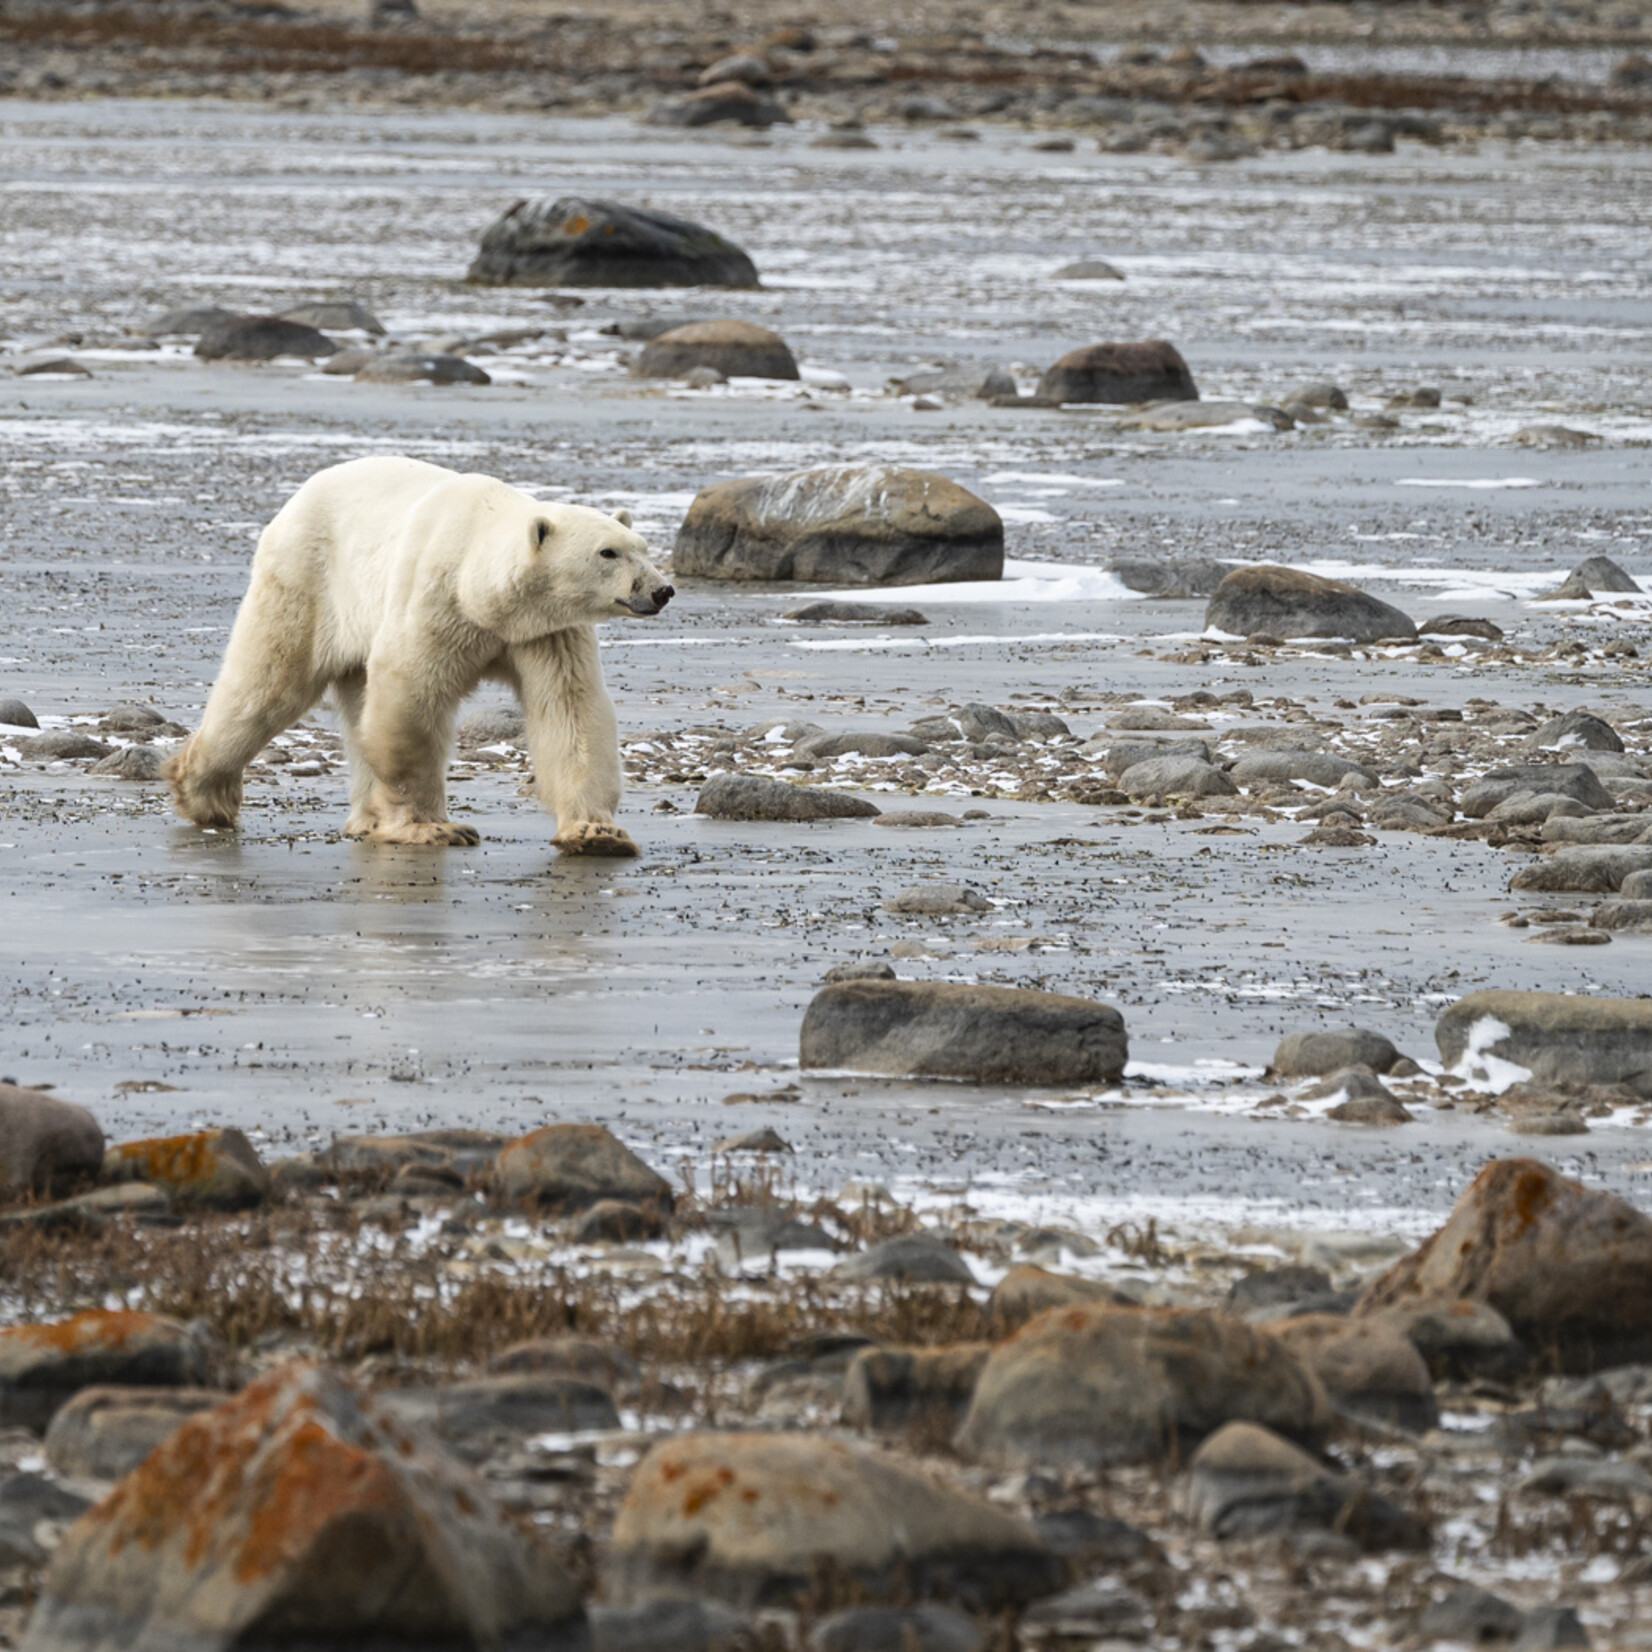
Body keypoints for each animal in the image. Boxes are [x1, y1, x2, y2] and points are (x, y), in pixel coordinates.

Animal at [169, 462, 677, 859]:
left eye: (643, 547)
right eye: (608, 552)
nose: (662, 590)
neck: (482, 592)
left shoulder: (545, 633)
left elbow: (571, 709)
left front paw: (598, 833)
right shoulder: (436, 599)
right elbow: (409, 697)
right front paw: (433, 827)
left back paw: (367, 819)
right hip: (309, 580)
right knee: (267, 680)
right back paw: (205, 795)